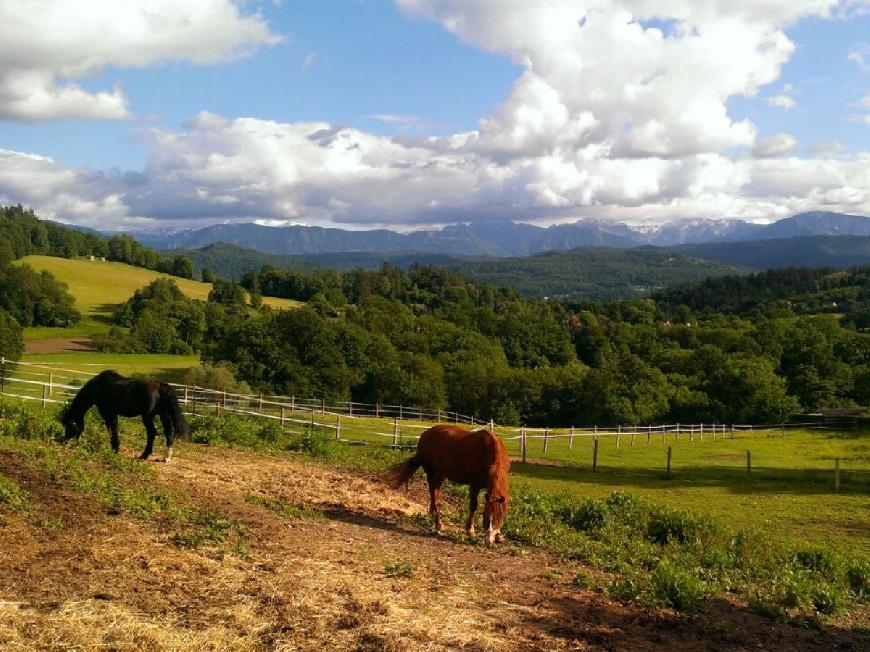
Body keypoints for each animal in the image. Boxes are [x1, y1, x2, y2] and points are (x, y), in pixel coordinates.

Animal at [61, 370, 191, 460]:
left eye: (69, 426)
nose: (66, 442)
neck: (98, 387)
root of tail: (160, 386)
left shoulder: (107, 413)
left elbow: (112, 430)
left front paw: (114, 449)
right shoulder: (112, 414)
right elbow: (113, 430)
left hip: (148, 417)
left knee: (152, 433)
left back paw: (144, 456)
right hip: (164, 415)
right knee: (168, 433)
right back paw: (166, 457)